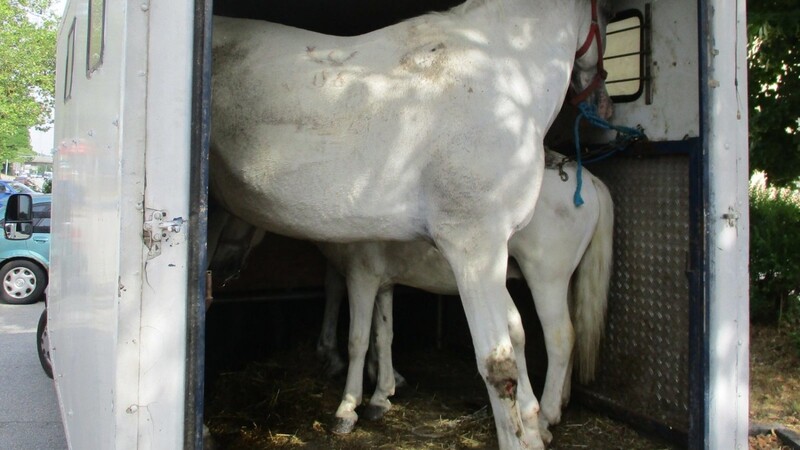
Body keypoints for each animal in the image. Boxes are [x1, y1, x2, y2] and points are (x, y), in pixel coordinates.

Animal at [314, 154, 612, 440]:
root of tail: (585, 178)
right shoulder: (383, 283)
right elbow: (383, 336)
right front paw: (381, 395)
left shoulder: (362, 277)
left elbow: (358, 340)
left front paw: (347, 408)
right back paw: (561, 403)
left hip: (547, 280)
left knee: (561, 339)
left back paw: (546, 416)